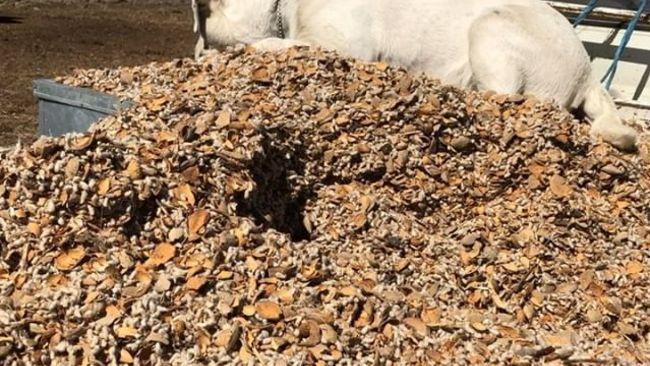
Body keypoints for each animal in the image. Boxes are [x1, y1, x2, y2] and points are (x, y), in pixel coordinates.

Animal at [190, 0, 636, 150]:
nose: (198, 51)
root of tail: (588, 74)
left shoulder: (341, 44)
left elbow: (271, 46)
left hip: (492, 29)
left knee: (500, 96)